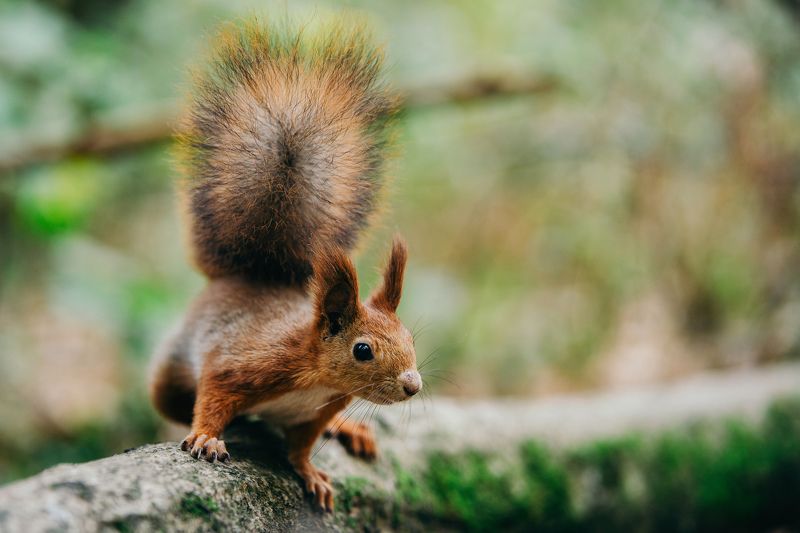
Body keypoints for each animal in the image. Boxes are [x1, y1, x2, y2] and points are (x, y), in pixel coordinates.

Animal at [148, 18, 421, 512]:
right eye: (363, 350)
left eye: (410, 337)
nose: (413, 385)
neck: (315, 378)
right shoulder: (244, 363)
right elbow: (213, 396)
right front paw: (206, 438)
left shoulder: (317, 412)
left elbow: (302, 446)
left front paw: (310, 471)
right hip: (169, 376)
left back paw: (349, 429)